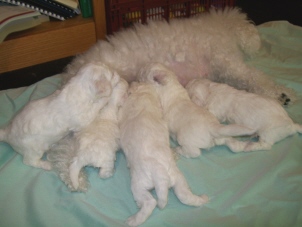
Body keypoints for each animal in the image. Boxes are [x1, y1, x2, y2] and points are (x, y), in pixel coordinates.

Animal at [119, 82, 209, 227]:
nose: (131, 83)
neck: (146, 96)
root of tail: (162, 174)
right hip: (178, 179)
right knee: (185, 195)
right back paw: (202, 198)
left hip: (139, 183)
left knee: (150, 202)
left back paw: (133, 220)